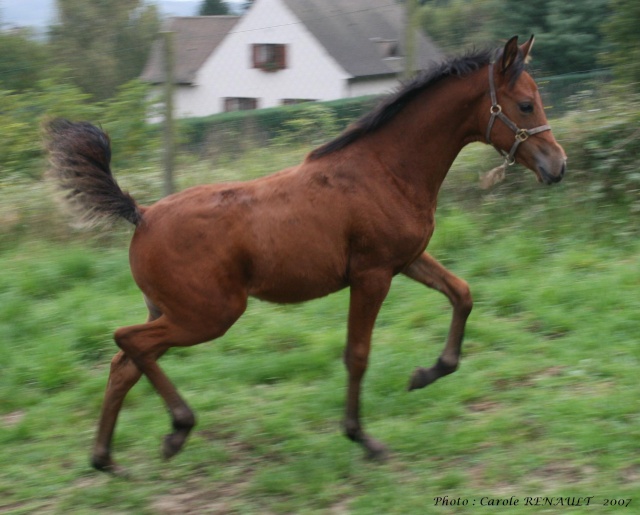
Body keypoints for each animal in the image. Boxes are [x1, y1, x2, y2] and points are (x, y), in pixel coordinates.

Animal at [45, 34, 564, 474]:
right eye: (524, 103)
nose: (557, 166)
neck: (385, 169)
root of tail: (143, 214)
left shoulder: (408, 259)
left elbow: (462, 294)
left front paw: (426, 373)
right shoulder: (373, 274)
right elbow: (358, 354)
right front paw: (363, 438)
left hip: (172, 310)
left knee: (123, 366)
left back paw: (106, 459)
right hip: (208, 314)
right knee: (127, 341)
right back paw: (177, 428)